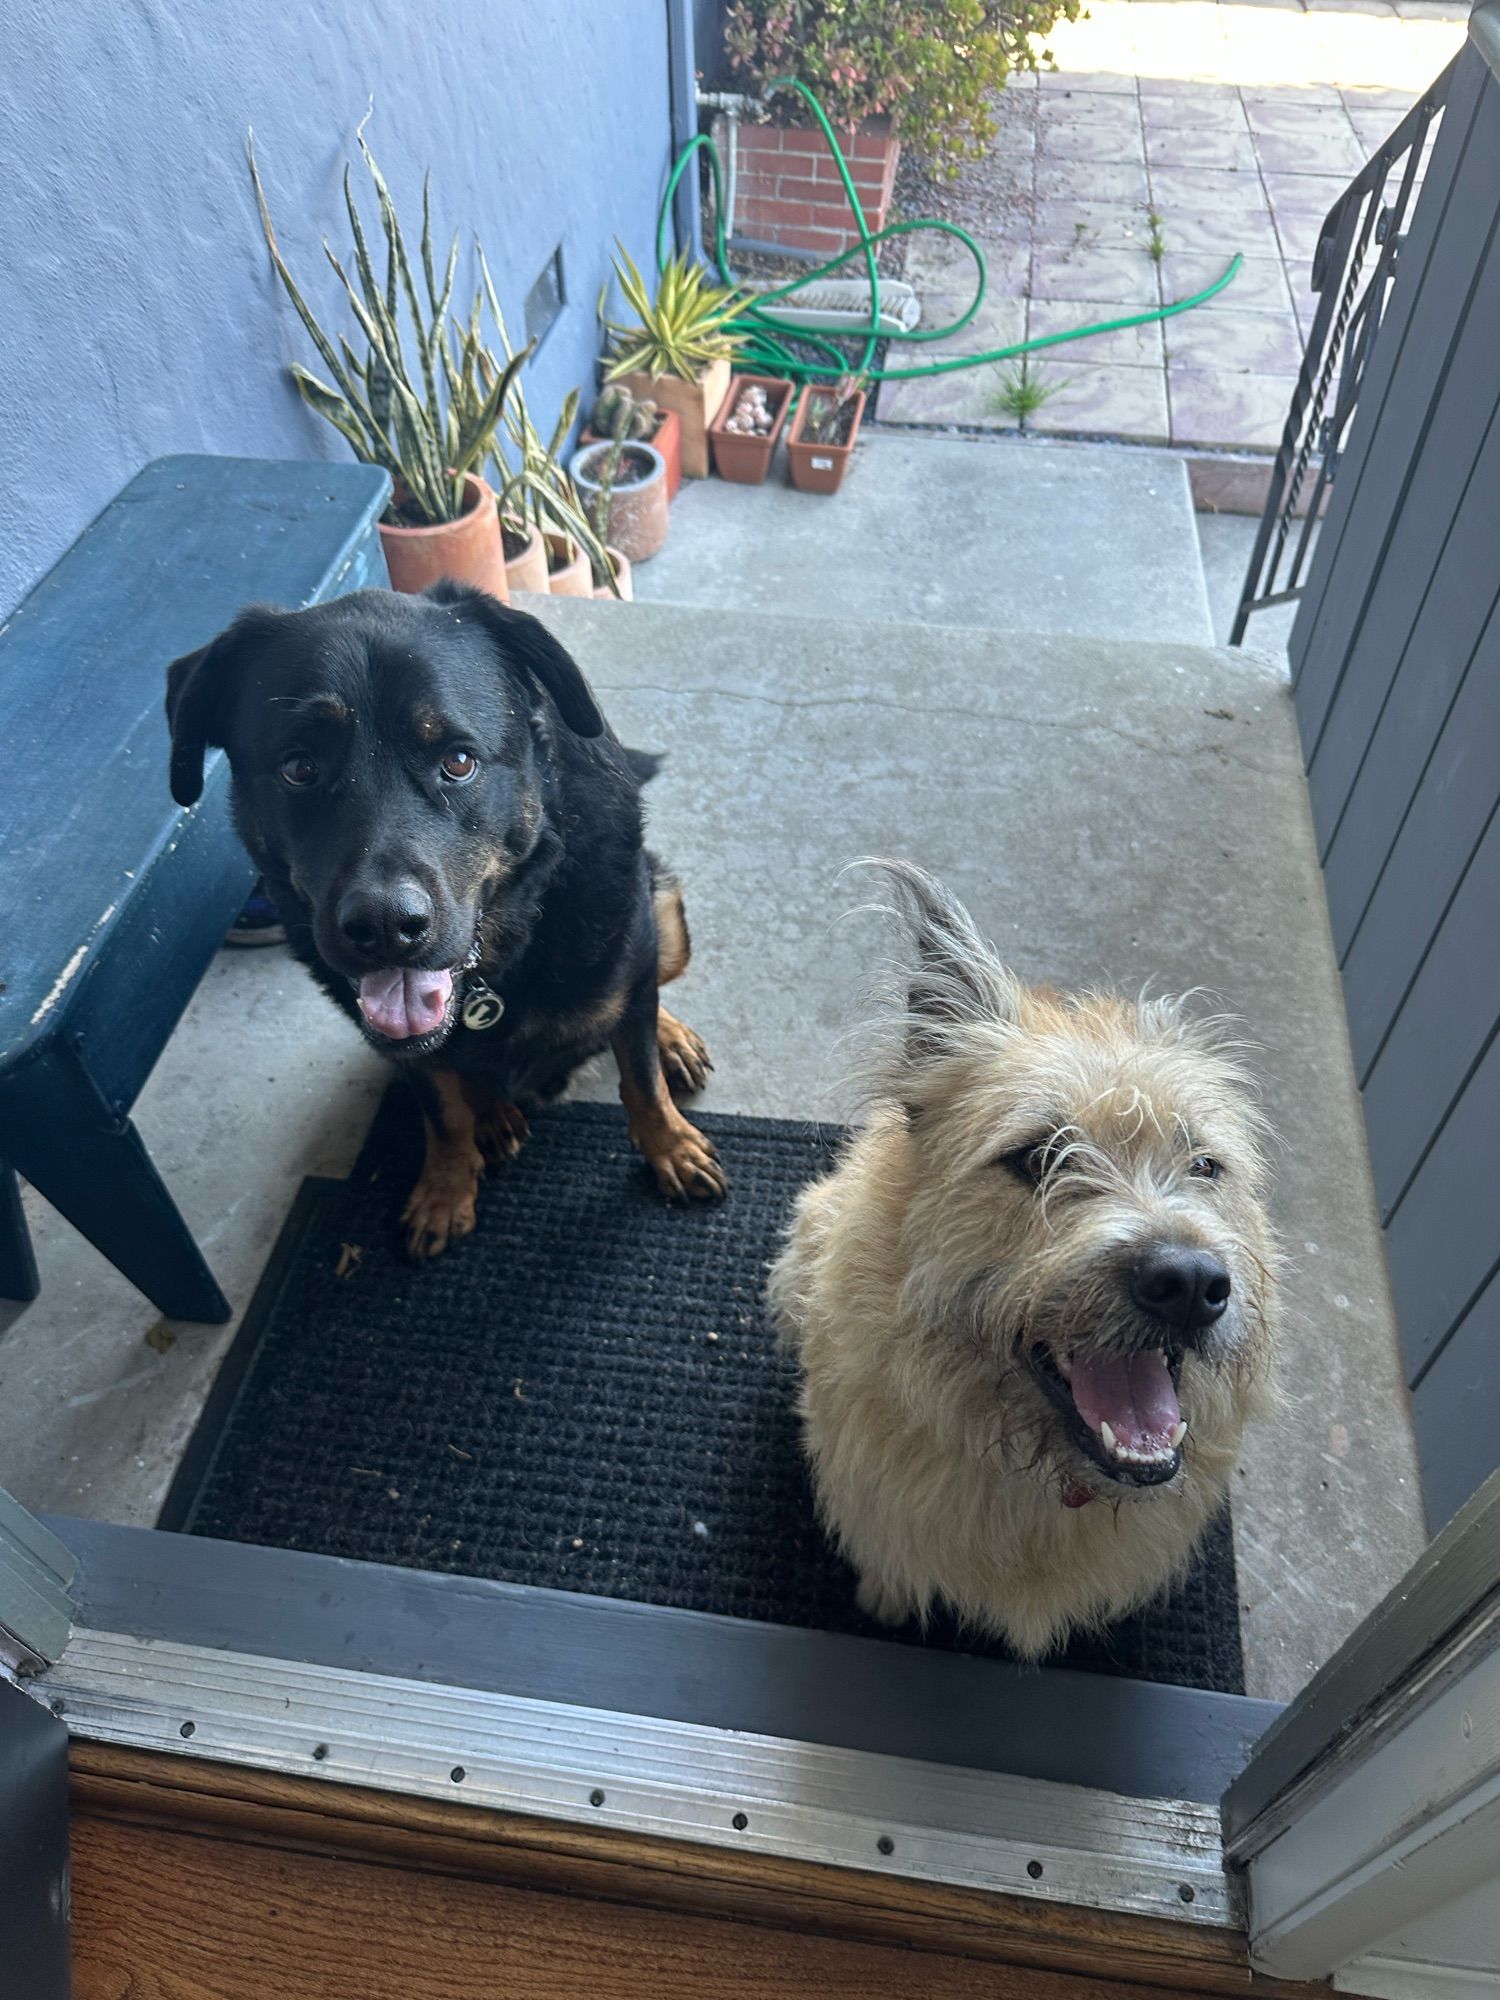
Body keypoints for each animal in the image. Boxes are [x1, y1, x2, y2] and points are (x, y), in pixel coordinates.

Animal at [166, 584, 728, 1256]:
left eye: (459, 761)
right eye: (298, 768)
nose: (385, 926)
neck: (503, 961)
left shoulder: (631, 939)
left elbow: (639, 1072)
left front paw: (670, 1145)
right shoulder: (404, 1046)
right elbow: (441, 1107)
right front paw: (446, 1187)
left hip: (661, 903)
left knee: (645, 990)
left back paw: (669, 1037)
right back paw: (493, 1114)